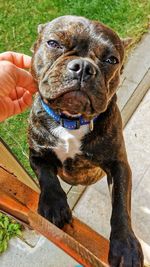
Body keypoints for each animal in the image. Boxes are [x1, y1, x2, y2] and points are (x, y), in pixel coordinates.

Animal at [28, 15, 144, 267]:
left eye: (111, 60)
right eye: (53, 43)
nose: (83, 66)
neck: (71, 121)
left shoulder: (118, 165)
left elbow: (121, 205)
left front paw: (126, 245)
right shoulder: (36, 153)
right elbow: (46, 175)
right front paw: (54, 205)